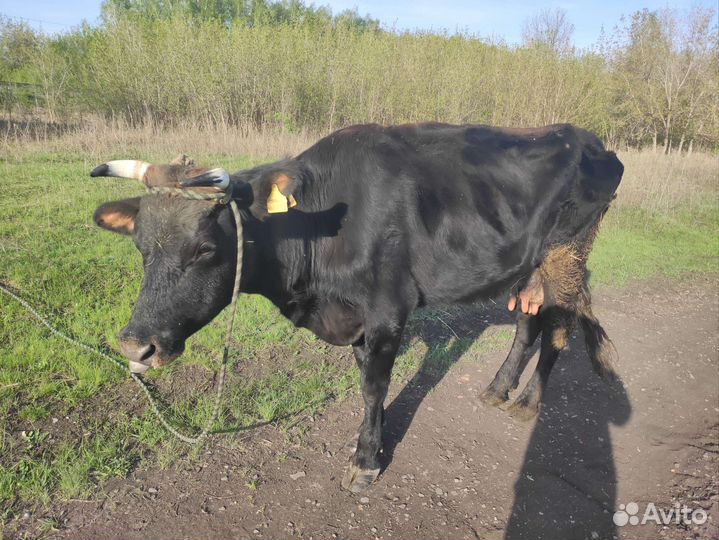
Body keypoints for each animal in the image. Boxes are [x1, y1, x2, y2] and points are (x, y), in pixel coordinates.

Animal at [91, 122, 623, 493]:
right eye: (140, 246)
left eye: (204, 248)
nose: (136, 346)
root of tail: (590, 140)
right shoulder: (355, 318)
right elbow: (367, 377)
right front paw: (374, 440)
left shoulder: (388, 309)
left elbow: (373, 387)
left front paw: (365, 462)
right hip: (525, 268)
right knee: (526, 324)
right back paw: (497, 389)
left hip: (566, 258)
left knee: (558, 328)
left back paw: (528, 403)